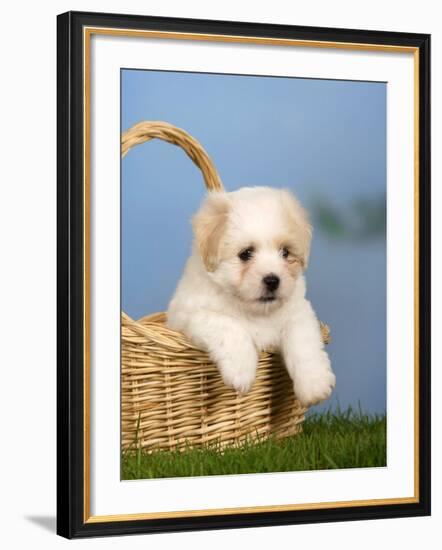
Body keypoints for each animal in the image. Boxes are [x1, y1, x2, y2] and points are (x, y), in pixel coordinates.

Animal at [166, 188, 334, 408]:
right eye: (246, 253)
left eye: (285, 252)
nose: (272, 280)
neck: (255, 311)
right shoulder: (192, 314)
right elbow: (229, 326)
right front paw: (241, 372)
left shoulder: (298, 312)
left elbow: (304, 342)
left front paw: (315, 384)